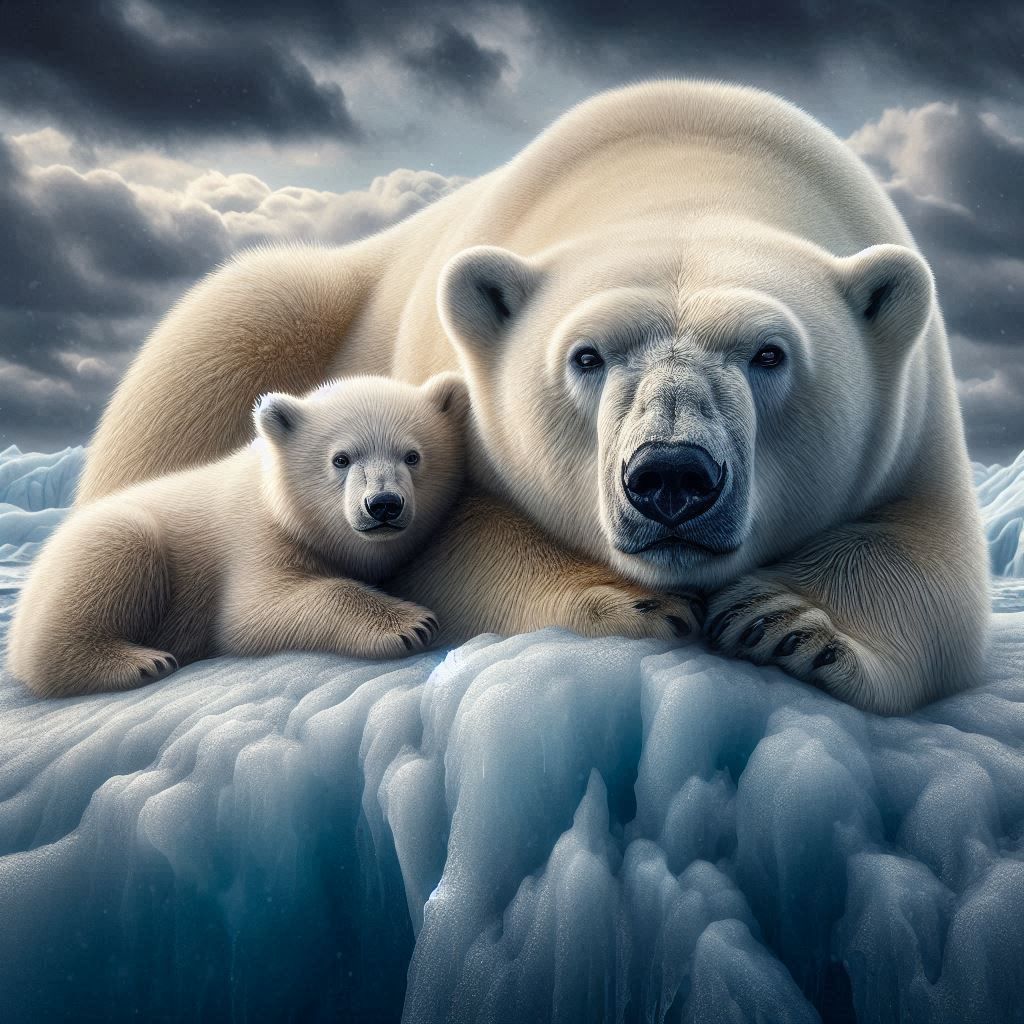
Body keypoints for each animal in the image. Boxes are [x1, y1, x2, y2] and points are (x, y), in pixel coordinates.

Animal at [7, 374, 467, 697]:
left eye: (412, 455)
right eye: (341, 458)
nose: (384, 504)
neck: (282, 501)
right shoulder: (258, 536)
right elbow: (254, 612)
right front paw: (411, 623)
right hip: (100, 544)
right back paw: (140, 662)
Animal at [74, 79, 989, 714]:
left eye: (770, 353)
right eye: (586, 355)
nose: (672, 477)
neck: (693, 162)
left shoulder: (912, 416)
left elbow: (929, 561)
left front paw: (788, 623)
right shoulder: (454, 391)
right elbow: (455, 548)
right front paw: (635, 603)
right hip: (278, 316)